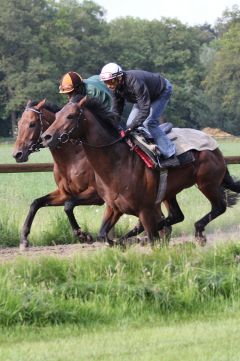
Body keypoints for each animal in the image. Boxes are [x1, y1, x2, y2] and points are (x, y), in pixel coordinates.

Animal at [41, 96, 240, 245]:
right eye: (56, 116)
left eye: (70, 116)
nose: (47, 136)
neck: (117, 163)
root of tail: (215, 147)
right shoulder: (114, 207)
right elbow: (103, 234)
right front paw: (115, 241)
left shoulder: (144, 209)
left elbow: (151, 237)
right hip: (170, 192)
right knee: (176, 215)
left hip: (207, 183)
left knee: (219, 207)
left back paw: (198, 231)